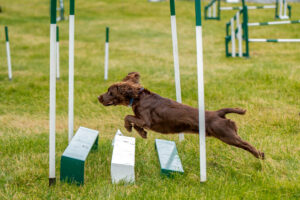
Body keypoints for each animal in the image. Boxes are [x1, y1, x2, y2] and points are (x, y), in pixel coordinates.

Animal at [99, 72, 264, 159]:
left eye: (110, 92)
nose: (98, 97)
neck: (138, 97)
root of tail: (219, 113)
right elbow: (134, 121)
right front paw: (142, 133)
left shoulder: (146, 120)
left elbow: (128, 117)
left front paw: (130, 128)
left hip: (227, 135)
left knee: (246, 144)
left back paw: (260, 155)